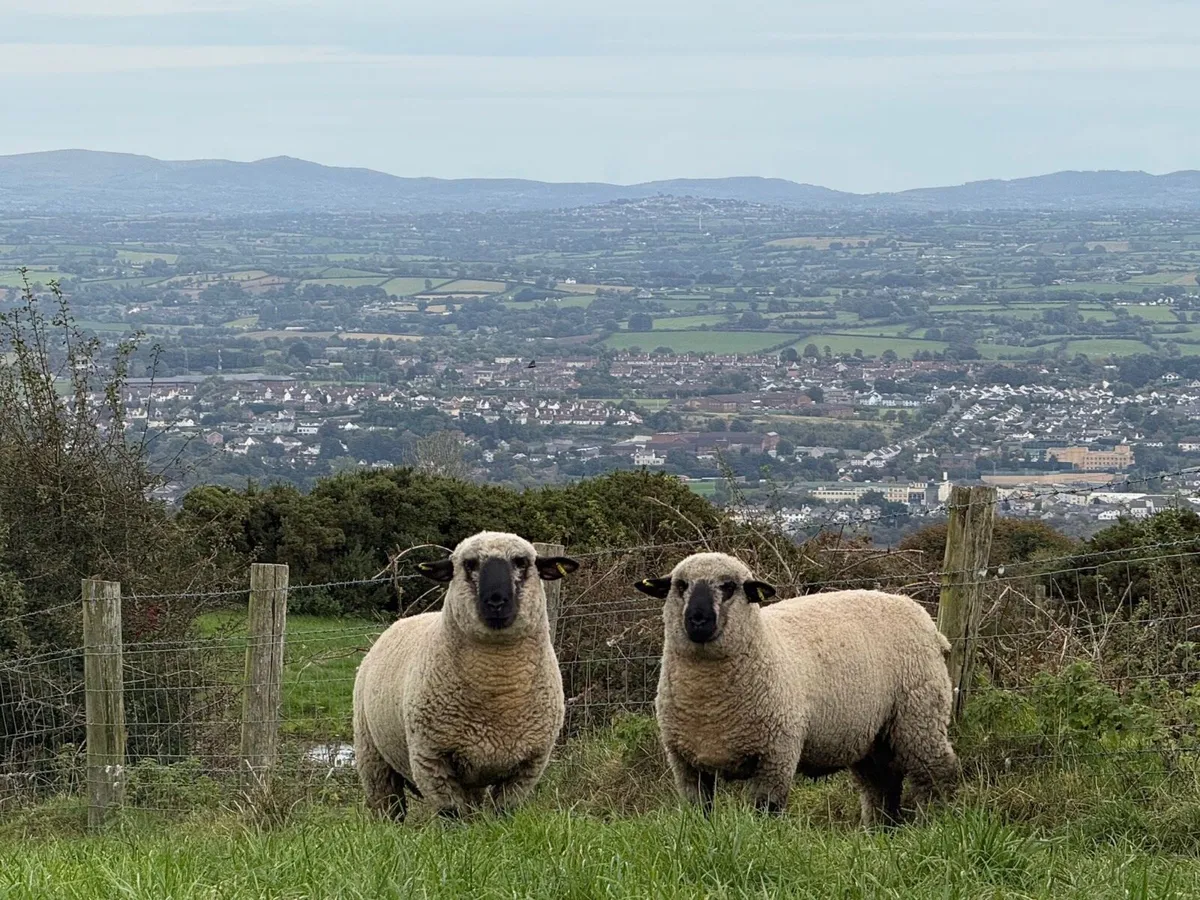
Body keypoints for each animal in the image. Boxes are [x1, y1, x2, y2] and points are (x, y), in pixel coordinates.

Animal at [353, 531, 578, 820]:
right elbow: (452, 814)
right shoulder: (432, 758)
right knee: (388, 804)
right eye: (469, 564)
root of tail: (401, 622)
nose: (496, 601)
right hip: (371, 755)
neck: (497, 685)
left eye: (521, 561)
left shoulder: (529, 764)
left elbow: (503, 811)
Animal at [636, 551, 958, 826]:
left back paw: (935, 821)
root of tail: (920, 613)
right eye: (680, 585)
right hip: (871, 737)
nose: (698, 619)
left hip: (919, 716)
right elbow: (698, 813)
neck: (710, 703)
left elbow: (765, 810)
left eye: (729, 587)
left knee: (936, 771)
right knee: (881, 785)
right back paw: (881, 831)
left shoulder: (776, 754)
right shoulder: (685, 764)